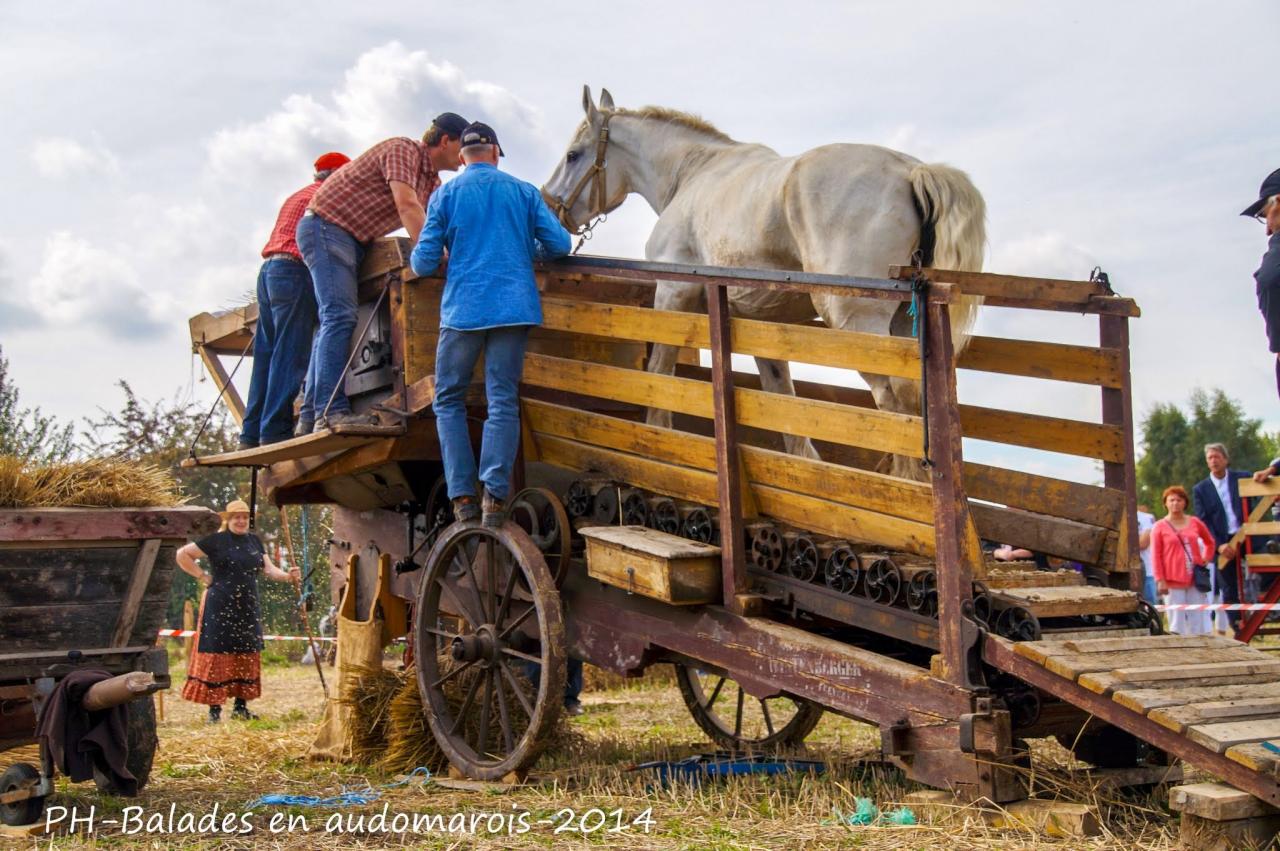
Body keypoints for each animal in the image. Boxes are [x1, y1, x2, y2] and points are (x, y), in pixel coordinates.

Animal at [542, 88, 988, 481]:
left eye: (573, 154)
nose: (550, 204)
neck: (692, 174)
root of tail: (909, 171)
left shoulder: (672, 294)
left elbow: (660, 371)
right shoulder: (757, 321)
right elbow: (779, 394)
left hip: (856, 322)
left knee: (893, 398)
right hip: (900, 326)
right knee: (914, 398)